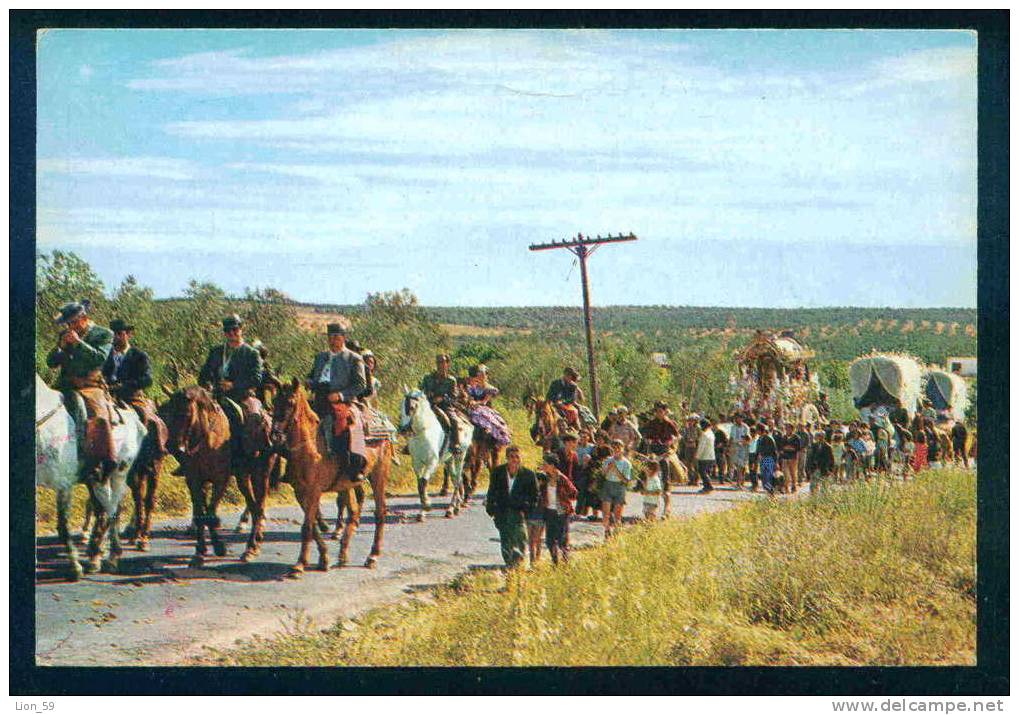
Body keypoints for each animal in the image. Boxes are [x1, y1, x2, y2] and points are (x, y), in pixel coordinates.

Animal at [34, 378, 146, 578]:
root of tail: (134, 419)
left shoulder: (64, 485)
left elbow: (63, 527)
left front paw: (75, 566)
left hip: (119, 474)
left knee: (113, 511)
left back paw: (111, 557)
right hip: (96, 480)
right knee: (102, 510)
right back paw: (96, 553)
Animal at [271, 380, 393, 578]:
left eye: (290, 403)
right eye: (274, 401)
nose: (275, 436)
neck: (311, 446)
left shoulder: (313, 491)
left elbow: (307, 527)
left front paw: (299, 565)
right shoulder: (300, 493)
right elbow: (313, 525)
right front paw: (324, 559)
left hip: (378, 476)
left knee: (380, 512)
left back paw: (372, 556)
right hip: (350, 483)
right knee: (353, 511)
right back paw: (343, 553)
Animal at [399, 391, 474, 521]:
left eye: (412, 407)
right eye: (401, 406)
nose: (403, 429)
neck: (423, 432)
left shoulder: (432, 462)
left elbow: (424, 482)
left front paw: (427, 507)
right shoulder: (417, 463)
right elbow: (420, 484)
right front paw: (422, 511)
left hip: (460, 457)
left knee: (457, 480)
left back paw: (451, 509)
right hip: (449, 460)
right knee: (455, 479)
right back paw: (456, 506)